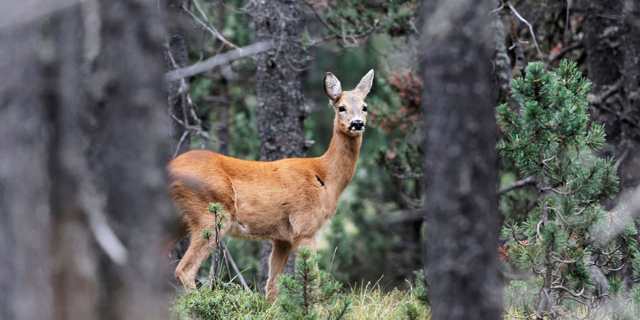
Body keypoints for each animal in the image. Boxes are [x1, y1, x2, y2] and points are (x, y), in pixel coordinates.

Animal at [168, 69, 372, 300]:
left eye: (365, 106)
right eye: (341, 107)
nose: (357, 123)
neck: (326, 177)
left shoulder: (282, 238)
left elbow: (272, 284)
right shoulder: (305, 227)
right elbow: (313, 282)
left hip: (180, 220)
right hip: (211, 215)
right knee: (184, 270)